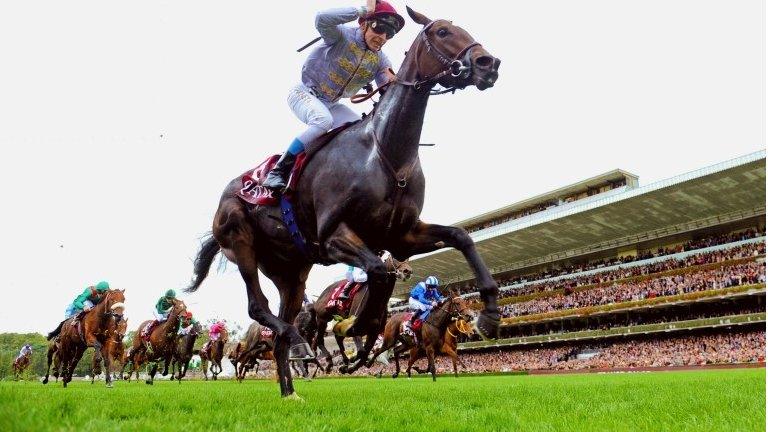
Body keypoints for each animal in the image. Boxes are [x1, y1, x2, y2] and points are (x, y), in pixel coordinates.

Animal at [184, 7, 500, 398]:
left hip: (291, 272)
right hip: (241, 242)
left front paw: (490, 313)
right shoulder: (334, 237)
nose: (488, 63)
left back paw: (290, 389)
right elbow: (378, 272)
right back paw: (302, 345)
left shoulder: (402, 237)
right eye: (442, 32)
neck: (384, 153)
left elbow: (460, 237)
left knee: (280, 328)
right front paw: (356, 330)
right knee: (259, 308)